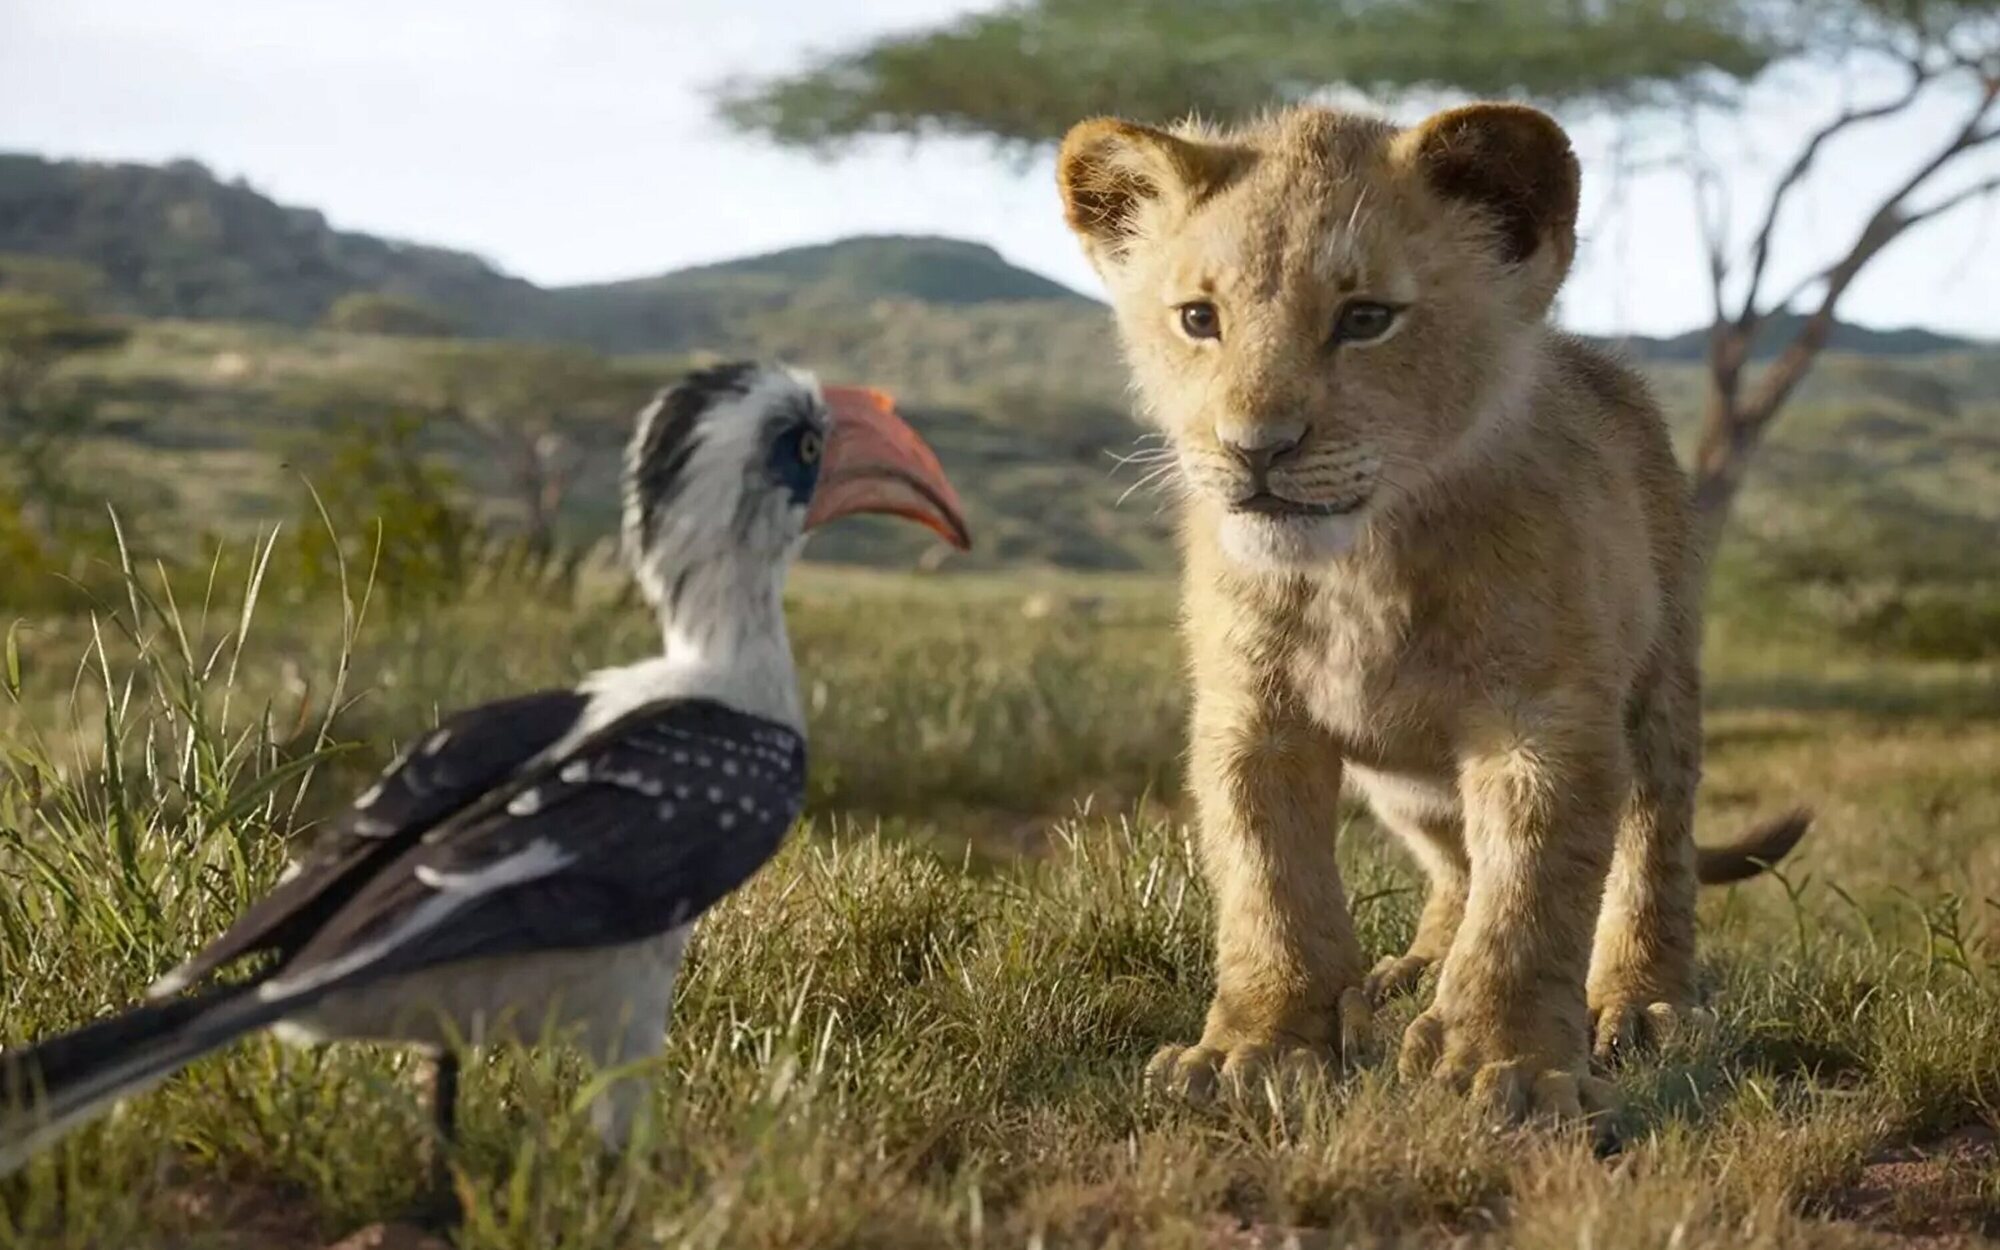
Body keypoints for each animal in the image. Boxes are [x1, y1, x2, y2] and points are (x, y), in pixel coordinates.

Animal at [1054, 101, 1808, 1121]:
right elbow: (1269, 885)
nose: (1256, 448)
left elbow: (1531, 897)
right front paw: (1256, 1048)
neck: (1360, 567)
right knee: (1456, 865)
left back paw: (1641, 1003)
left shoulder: (1543, 720)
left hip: (1660, 688)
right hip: (1405, 785)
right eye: (1199, 319)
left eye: (1366, 318)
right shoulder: (1251, 718)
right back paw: (1409, 972)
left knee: (1653, 846)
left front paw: (1509, 1065)